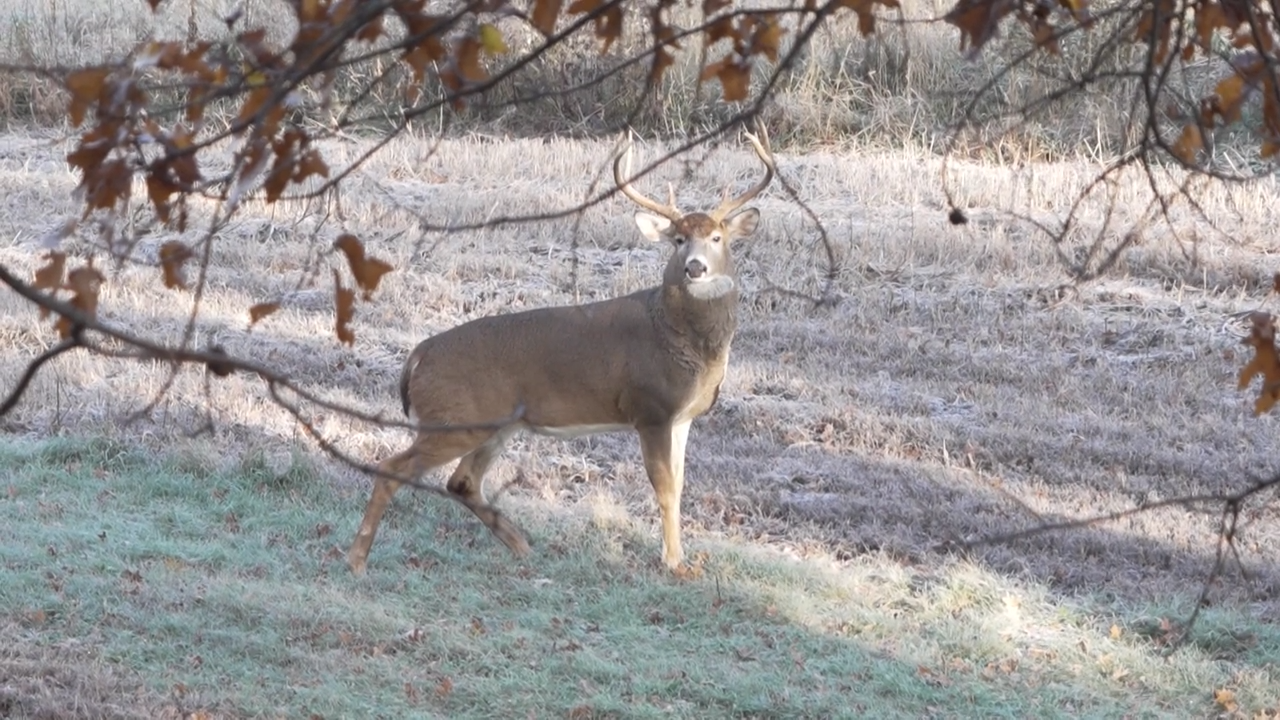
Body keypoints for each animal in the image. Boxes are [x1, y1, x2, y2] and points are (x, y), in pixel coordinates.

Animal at [346, 120, 775, 576]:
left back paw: (523, 547)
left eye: (716, 236)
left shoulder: (682, 417)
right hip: (454, 418)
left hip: (496, 423)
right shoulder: (651, 408)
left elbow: (679, 485)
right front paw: (675, 563)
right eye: (677, 239)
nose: (695, 266)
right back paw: (357, 560)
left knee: (461, 481)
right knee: (392, 468)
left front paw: (680, 558)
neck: (681, 339)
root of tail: (418, 355)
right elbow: (664, 488)